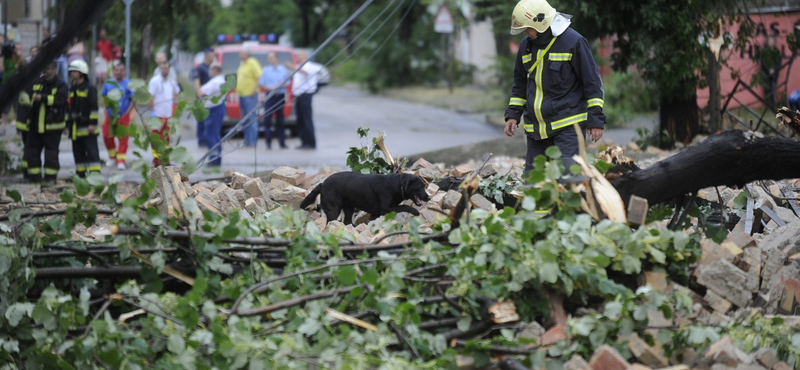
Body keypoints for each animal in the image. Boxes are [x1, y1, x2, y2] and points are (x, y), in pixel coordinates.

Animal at [298, 172, 432, 224]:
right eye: (420, 187)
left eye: (425, 186)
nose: (429, 198)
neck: (396, 186)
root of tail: (322, 184)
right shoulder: (386, 208)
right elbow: (404, 206)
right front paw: (415, 211)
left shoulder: (376, 213)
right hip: (333, 209)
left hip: (349, 208)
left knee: (347, 222)